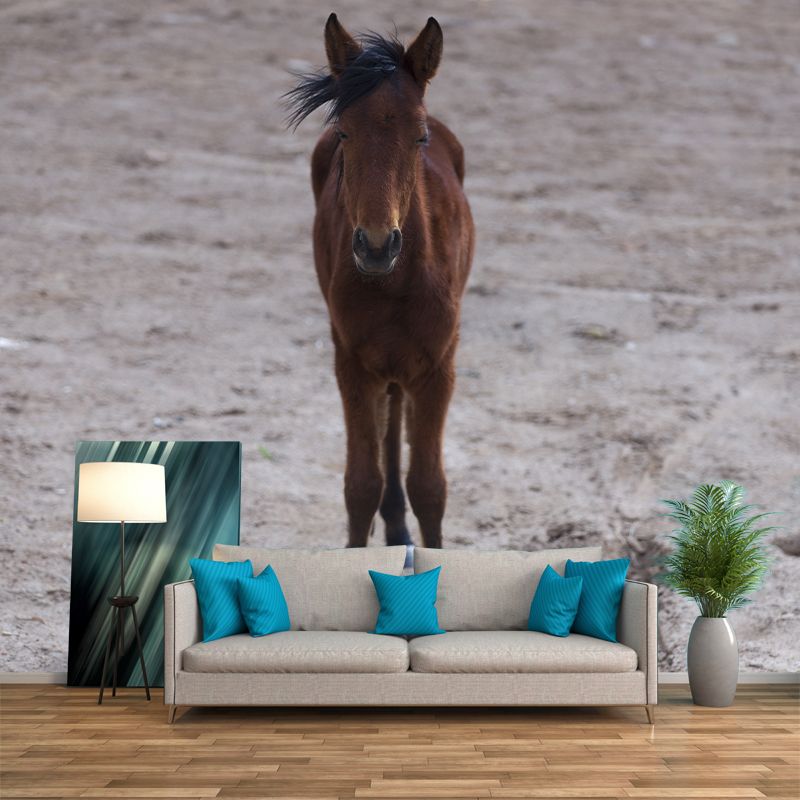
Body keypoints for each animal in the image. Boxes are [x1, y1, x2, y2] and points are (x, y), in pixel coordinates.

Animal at [286, 14, 474, 550]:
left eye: (420, 136)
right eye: (345, 133)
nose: (375, 245)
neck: (394, 284)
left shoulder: (438, 366)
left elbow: (430, 487)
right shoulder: (351, 363)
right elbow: (360, 484)